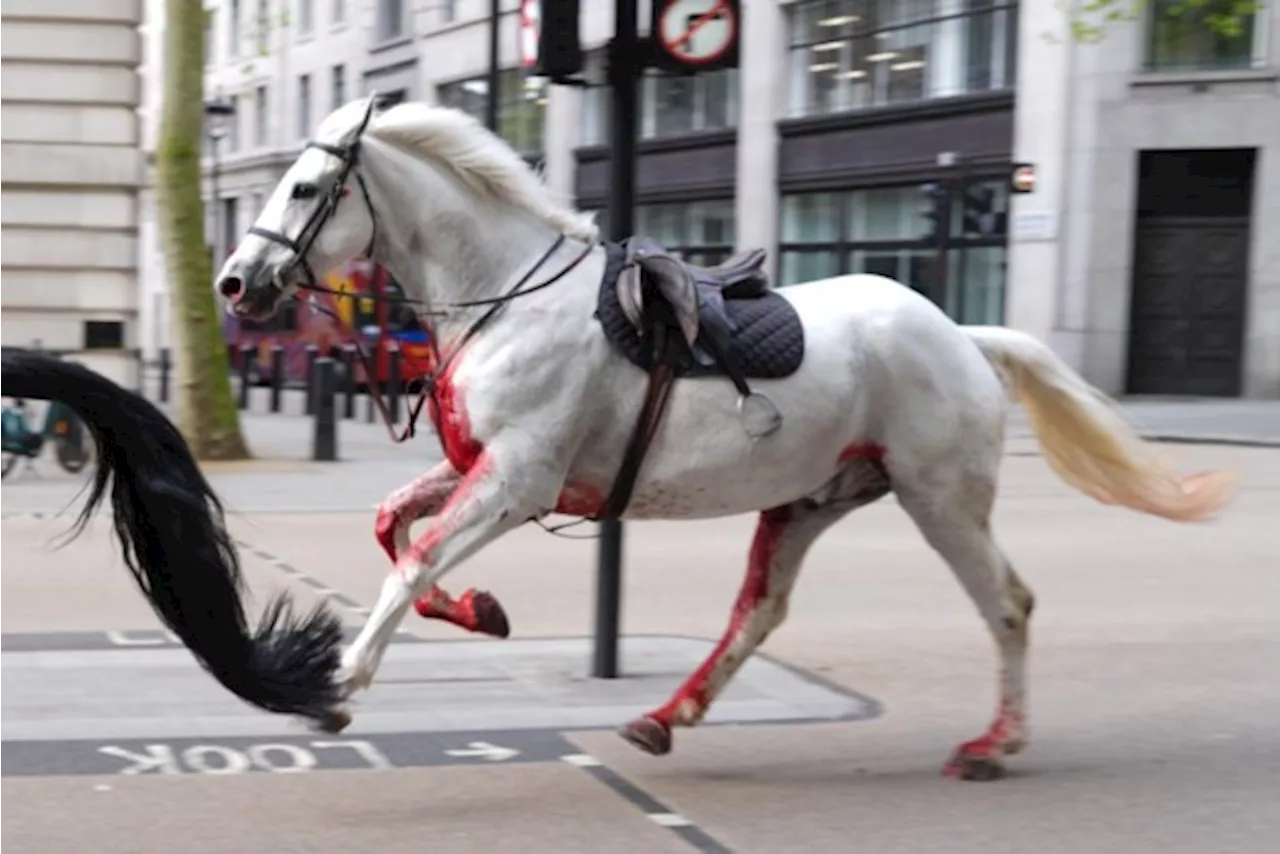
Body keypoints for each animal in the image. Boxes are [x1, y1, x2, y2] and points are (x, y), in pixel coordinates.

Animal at [215, 98, 1233, 783]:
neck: (505, 298)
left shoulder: (517, 480)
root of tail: (961, 335)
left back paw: (994, 743)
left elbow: (415, 557)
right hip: (809, 501)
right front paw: (480, 610)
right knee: (760, 612)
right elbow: (394, 528)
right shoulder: (482, 468)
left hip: (940, 498)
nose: (233, 282)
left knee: (1009, 605)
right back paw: (669, 715)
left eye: (306, 186)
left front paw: (341, 685)